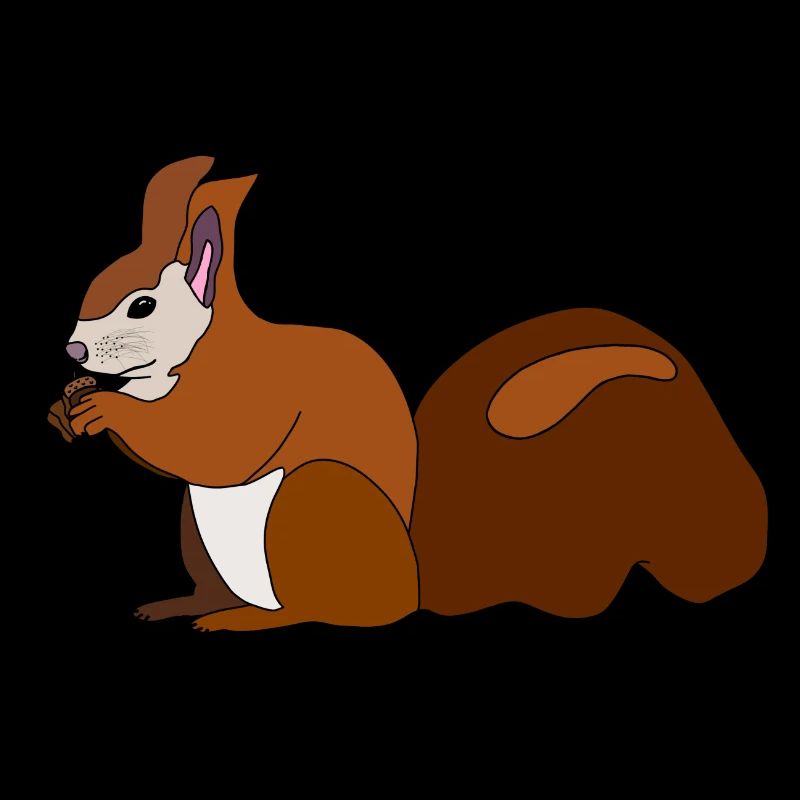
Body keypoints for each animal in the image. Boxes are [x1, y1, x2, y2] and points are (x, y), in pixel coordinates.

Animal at [48, 157, 767, 632]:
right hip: (198, 537)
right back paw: (189, 605)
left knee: (328, 612)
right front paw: (67, 405)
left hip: (318, 498)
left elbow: (219, 445)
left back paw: (249, 621)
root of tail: (414, 590)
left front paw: (104, 408)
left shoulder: (260, 390)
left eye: (141, 305)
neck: (181, 365)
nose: (74, 351)